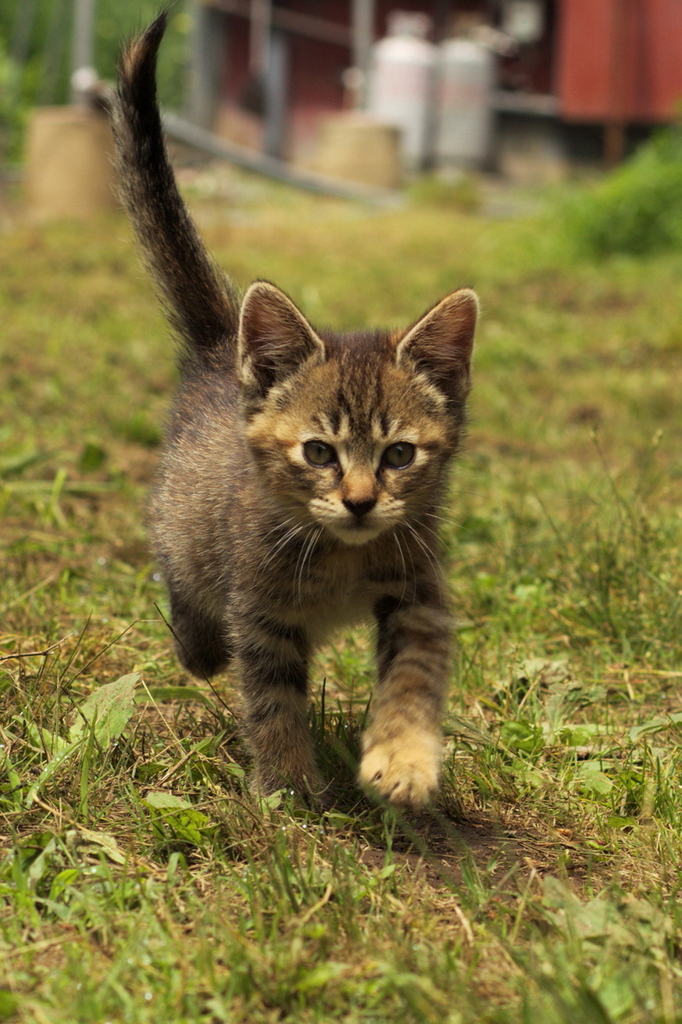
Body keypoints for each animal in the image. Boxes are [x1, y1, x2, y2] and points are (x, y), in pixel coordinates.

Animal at [111, 9, 475, 806]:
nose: (362, 501)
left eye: (399, 454)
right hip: (187, 531)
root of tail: (222, 347)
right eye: (319, 452)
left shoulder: (420, 593)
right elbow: (272, 694)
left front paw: (403, 759)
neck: (344, 557)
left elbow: (415, 674)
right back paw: (198, 645)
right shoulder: (261, 608)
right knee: (185, 585)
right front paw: (287, 784)